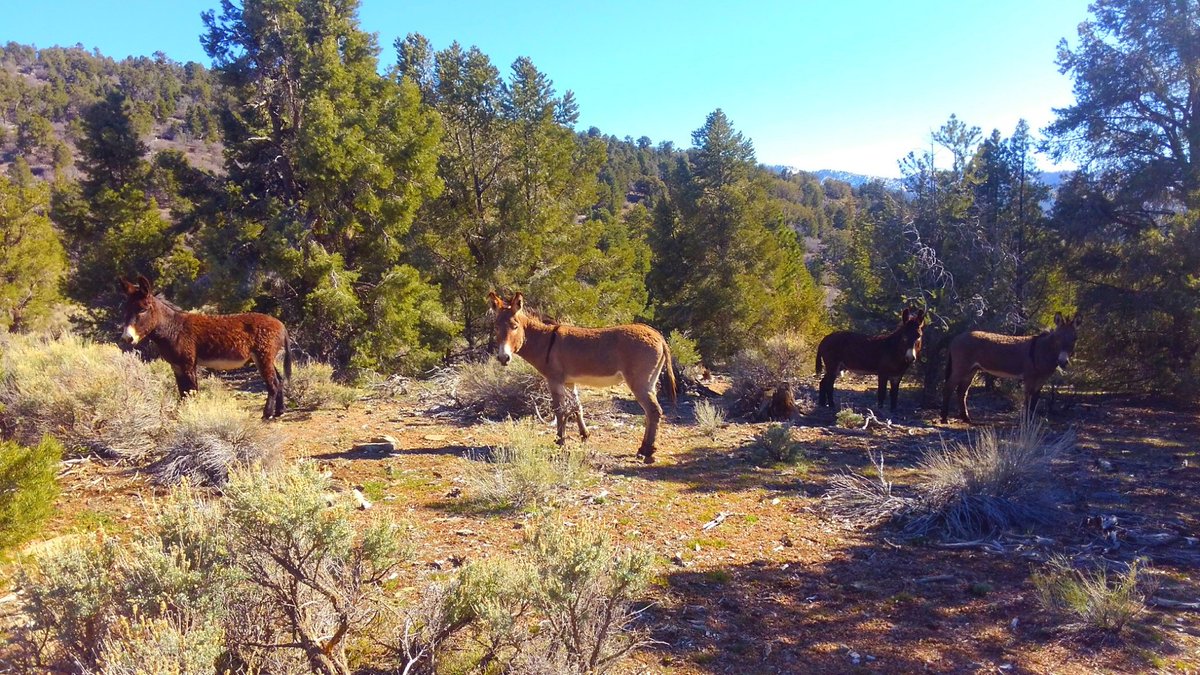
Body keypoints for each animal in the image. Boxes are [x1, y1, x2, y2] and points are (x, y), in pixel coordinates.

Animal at [117, 275, 293, 419]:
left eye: (142, 309)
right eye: (125, 310)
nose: (127, 338)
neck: (173, 328)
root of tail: (281, 325)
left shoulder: (188, 364)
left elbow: (192, 391)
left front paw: (192, 413)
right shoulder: (176, 366)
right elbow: (183, 392)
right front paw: (182, 413)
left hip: (263, 356)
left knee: (273, 383)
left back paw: (267, 414)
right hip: (266, 358)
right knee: (279, 379)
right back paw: (280, 411)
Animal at [488, 291, 676, 464]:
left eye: (514, 327)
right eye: (496, 327)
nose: (503, 358)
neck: (544, 341)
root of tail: (658, 336)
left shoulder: (554, 380)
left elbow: (560, 410)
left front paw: (560, 441)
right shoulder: (570, 382)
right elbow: (577, 406)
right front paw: (585, 435)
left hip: (638, 382)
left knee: (653, 411)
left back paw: (647, 451)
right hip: (650, 382)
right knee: (650, 413)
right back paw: (644, 448)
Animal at [941, 312, 1080, 424]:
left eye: (1074, 339)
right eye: (1058, 338)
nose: (1063, 362)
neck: (1042, 350)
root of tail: (956, 338)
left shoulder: (1041, 380)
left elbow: (1035, 400)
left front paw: (1032, 422)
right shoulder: (1029, 378)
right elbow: (1028, 400)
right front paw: (1026, 422)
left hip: (971, 371)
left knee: (961, 392)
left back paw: (966, 418)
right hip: (961, 369)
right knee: (948, 388)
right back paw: (944, 418)